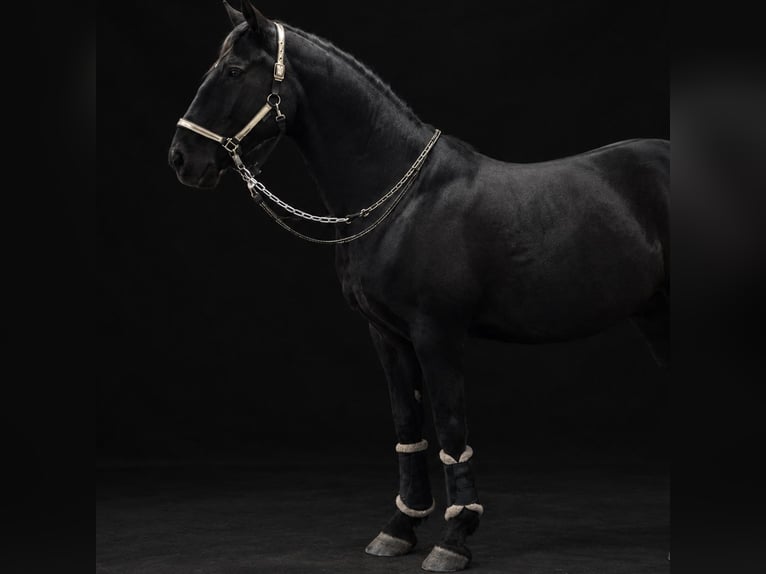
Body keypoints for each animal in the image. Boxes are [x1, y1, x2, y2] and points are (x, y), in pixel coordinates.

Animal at [168, 2, 669, 571]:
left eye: (233, 71)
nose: (182, 158)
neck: (405, 199)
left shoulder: (438, 334)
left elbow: (450, 428)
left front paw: (454, 539)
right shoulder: (387, 336)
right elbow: (407, 426)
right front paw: (399, 528)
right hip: (656, 315)